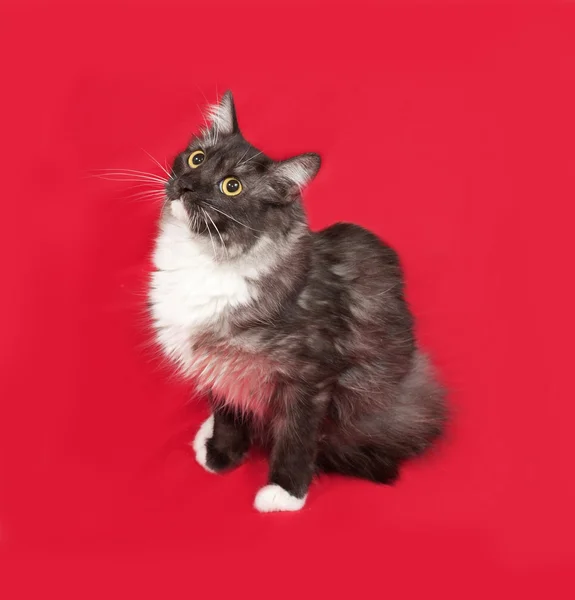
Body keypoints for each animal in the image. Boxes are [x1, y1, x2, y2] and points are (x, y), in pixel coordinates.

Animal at [148, 91, 446, 512]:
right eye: (197, 159)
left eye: (232, 186)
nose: (187, 185)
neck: (206, 257)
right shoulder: (221, 362)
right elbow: (227, 413)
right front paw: (221, 455)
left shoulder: (309, 376)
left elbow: (297, 435)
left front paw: (285, 491)